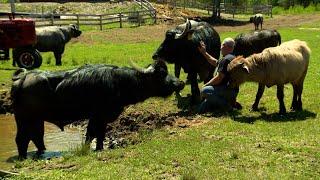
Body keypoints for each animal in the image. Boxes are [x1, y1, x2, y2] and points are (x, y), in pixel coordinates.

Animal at [11, 60, 184, 159]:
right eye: (162, 73)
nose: (180, 83)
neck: (119, 82)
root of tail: (22, 77)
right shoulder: (100, 115)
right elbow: (98, 133)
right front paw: (99, 148)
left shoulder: (95, 117)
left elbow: (91, 134)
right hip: (24, 119)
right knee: (22, 139)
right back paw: (23, 158)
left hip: (35, 120)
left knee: (36, 137)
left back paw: (42, 152)